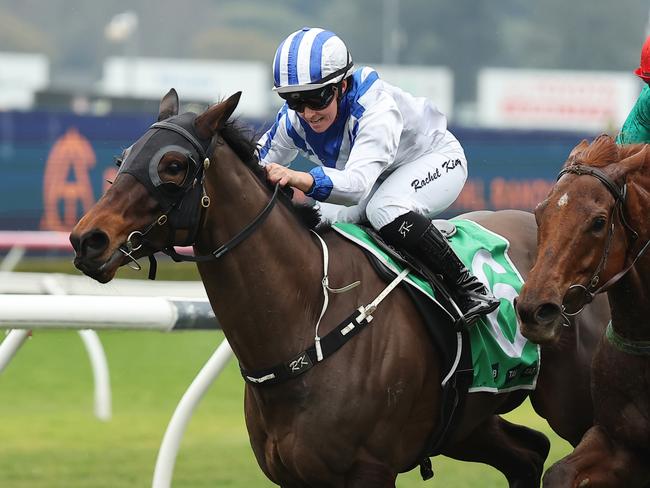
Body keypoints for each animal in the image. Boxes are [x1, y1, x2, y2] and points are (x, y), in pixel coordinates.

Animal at [68, 89, 604, 486]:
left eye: (174, 166)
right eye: (123, 156)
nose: (86, 240)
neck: (307, 322)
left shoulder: (369, 472)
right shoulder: (290, 476)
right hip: (467, 421)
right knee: (529, 453)